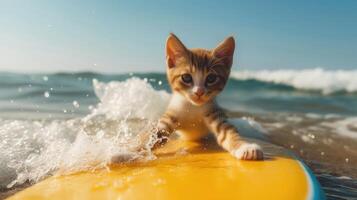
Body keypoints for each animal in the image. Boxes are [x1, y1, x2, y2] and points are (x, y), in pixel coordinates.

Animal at [152, 33, 262, 161]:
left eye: (211, 78)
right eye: (186, 77)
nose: (199, 92)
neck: (193, 107)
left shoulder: (214, 113)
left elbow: (229, 132)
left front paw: (245, 147)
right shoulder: (171, 114)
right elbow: (155, 134)